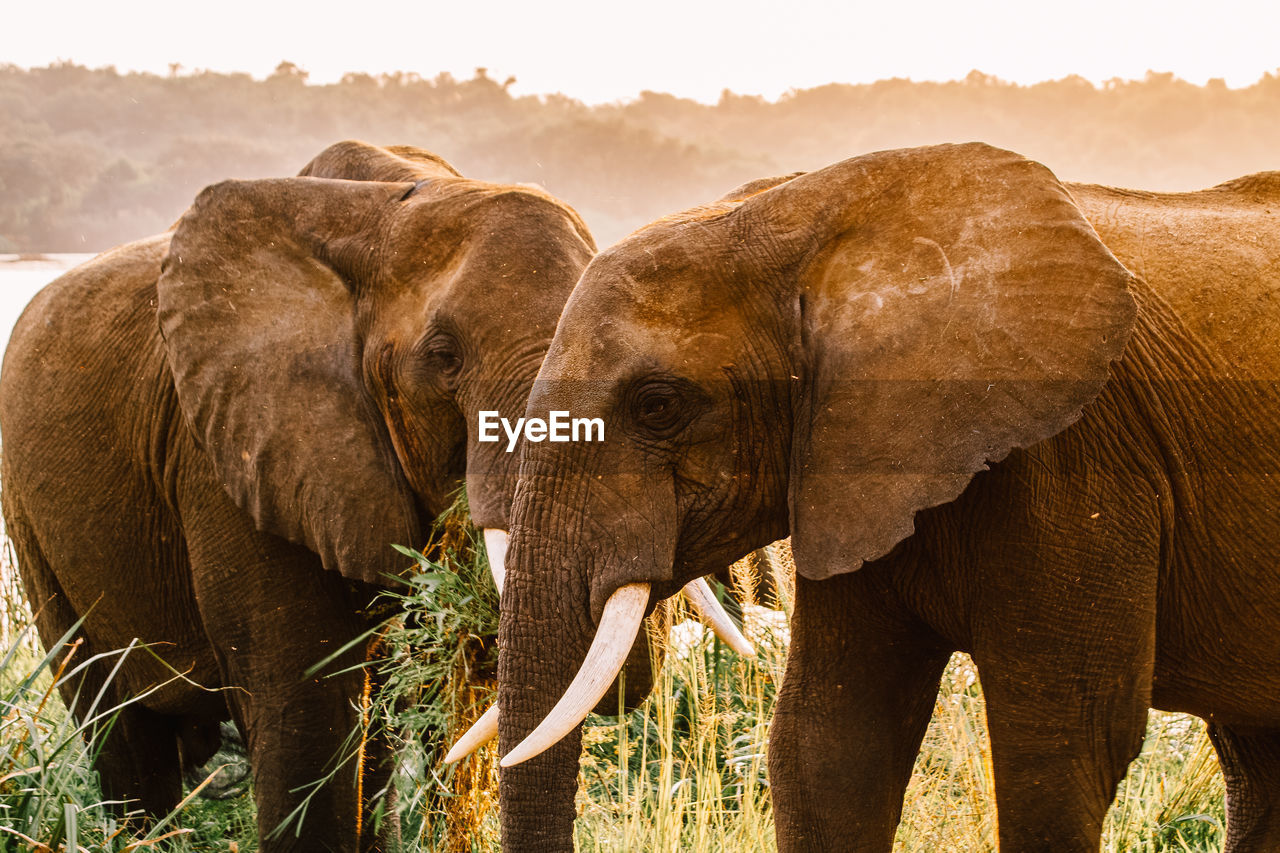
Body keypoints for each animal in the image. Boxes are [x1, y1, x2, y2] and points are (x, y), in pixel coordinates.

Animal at [0, 137, 601, 845]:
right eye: (443, 357)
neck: (393, 206)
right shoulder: (230, 458)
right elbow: (305, 709)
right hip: (33, 526)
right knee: (115, 719)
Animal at [473, 142, 1280, 845]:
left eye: (658, 405)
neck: (800, 222)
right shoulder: (848, 468)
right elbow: (829, 748)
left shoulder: (1080, 460)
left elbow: (1063, 746)